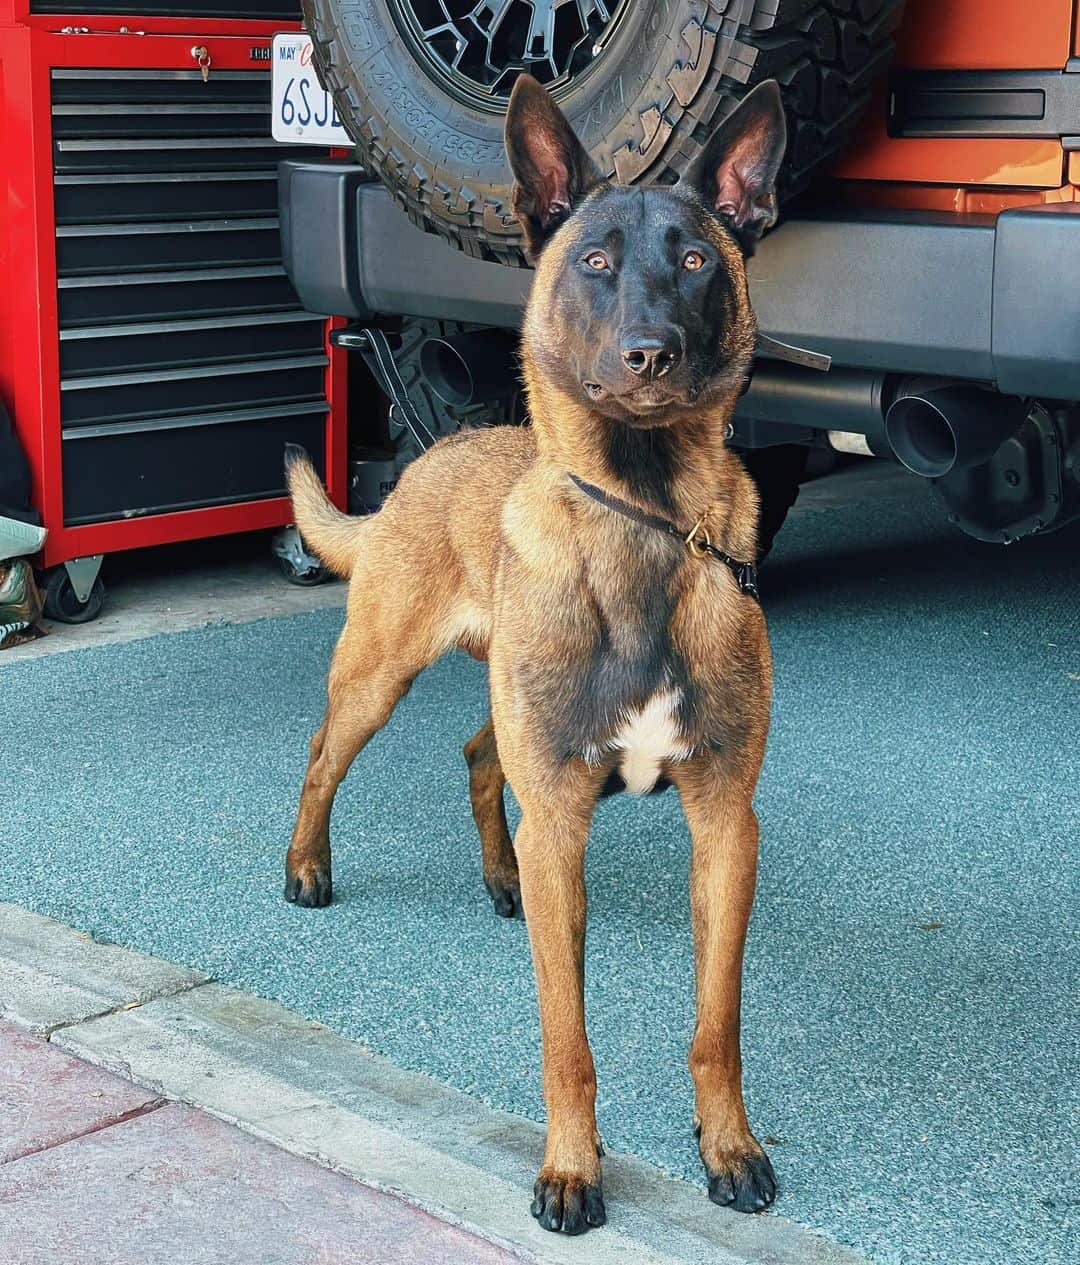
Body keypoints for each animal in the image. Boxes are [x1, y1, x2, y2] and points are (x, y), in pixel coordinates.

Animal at [279, 71, 784, 1234]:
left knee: (477, 755)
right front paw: (570, 1167)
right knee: (325, 754)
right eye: (595, 259)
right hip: (377, 677)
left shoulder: (723, 824)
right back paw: (307, 866)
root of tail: (433, 453)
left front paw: (729, 1146)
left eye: (697, 259)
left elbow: (717, 1024)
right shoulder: (562, 820)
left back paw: (499, 876)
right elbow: (567, 1040)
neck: (646, 519)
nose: (650, 351)